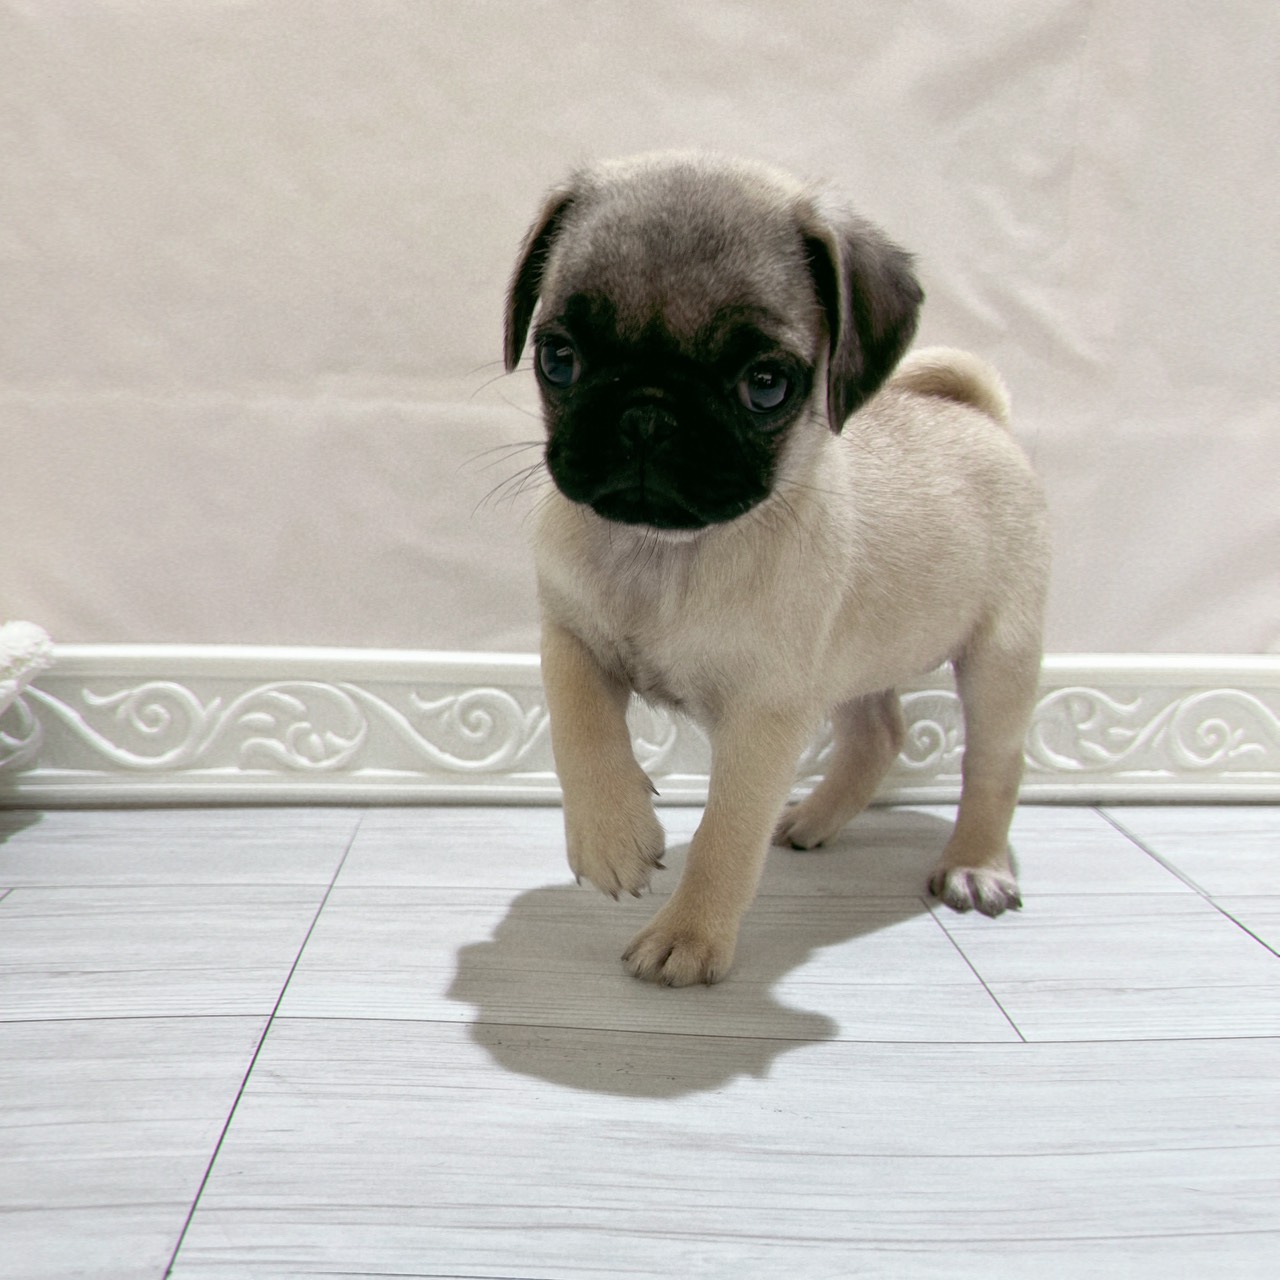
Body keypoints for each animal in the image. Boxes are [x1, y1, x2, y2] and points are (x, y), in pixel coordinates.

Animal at [503, 152, 1049, 986]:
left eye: (766, 385)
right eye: (558, 358)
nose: (647, 414)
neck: (665, 555)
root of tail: (980, 416)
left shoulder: (763, 720)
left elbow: (728, 835)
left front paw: (689, 938)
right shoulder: (569, 636)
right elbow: (579, 724)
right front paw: (612, 834)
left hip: (999, 659)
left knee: (995, 763)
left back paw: (976, 866)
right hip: (854, 664)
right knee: (878, 734)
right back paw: (815, 819)